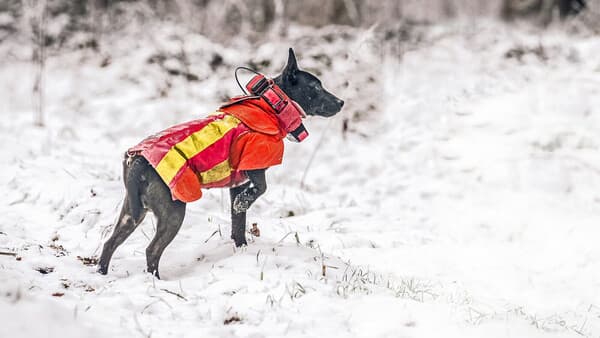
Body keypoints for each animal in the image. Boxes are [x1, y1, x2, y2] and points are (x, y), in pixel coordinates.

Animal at [97, 48, 342, 280]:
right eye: (316, 87)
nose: (341, 102)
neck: (271, 107)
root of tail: (138, 160)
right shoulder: (253, 166)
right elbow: (260, 189)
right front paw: (243, 204)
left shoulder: (238, 184)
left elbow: (238, 225)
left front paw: (241, 249)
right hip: (172, 211)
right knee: (152, 250)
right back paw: (155, 280)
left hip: (132, 213)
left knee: (110, 243)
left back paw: (101, 273)